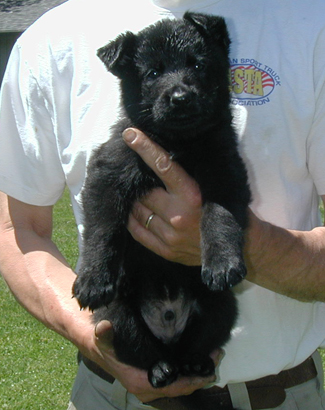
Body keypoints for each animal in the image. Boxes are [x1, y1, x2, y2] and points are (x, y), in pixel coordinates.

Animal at [74, 12, 251, 390]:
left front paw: (222, 262)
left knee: (196, 342)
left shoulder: (226, 172)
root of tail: (168, 323)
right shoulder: (108, 173)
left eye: (197, 64)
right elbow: (101, 229)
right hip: (118, 315)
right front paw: (93, 278)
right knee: (141, 350)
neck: (177, 144)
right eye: (153, 73)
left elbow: (219, 217)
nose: (180, 97)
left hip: (221, 306)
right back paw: (160, 369)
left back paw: (194, 363)